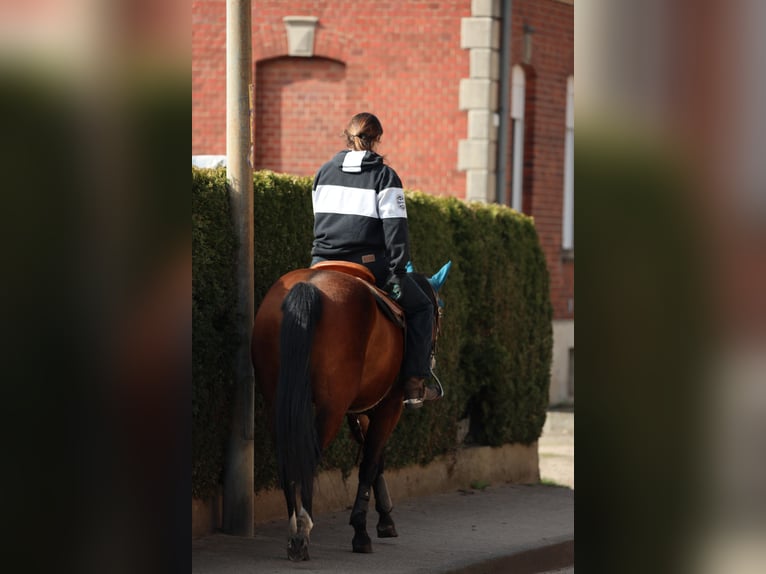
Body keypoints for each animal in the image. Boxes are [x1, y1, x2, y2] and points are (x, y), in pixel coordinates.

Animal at [252, 260, 451, 561]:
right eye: (438, 310)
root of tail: (309, 286)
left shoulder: (360, 410)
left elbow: (375, 459)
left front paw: (384, 519)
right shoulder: (389, 407)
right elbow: (369, 463)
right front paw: (362, 531)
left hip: (278, 402)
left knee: (288, 456)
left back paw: (294, 528)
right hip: (331, 407)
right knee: (309, 456)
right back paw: (302, 531)